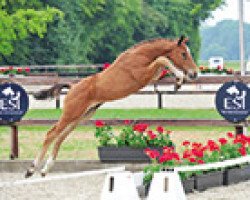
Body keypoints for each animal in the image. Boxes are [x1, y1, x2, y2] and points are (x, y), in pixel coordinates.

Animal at [24, 35, 197, 177]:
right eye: (183, 54)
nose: (194, 73)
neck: (140, 56)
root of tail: (72, 87)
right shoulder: (143, 76)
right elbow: (162, 59)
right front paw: (180, 77)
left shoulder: (152, 77)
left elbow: (163, 64)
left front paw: (178, 82)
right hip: (70, 114)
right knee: (51, 134)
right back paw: (31, 169)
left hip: (81, 117)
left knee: (60, 137)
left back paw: (46, 169)